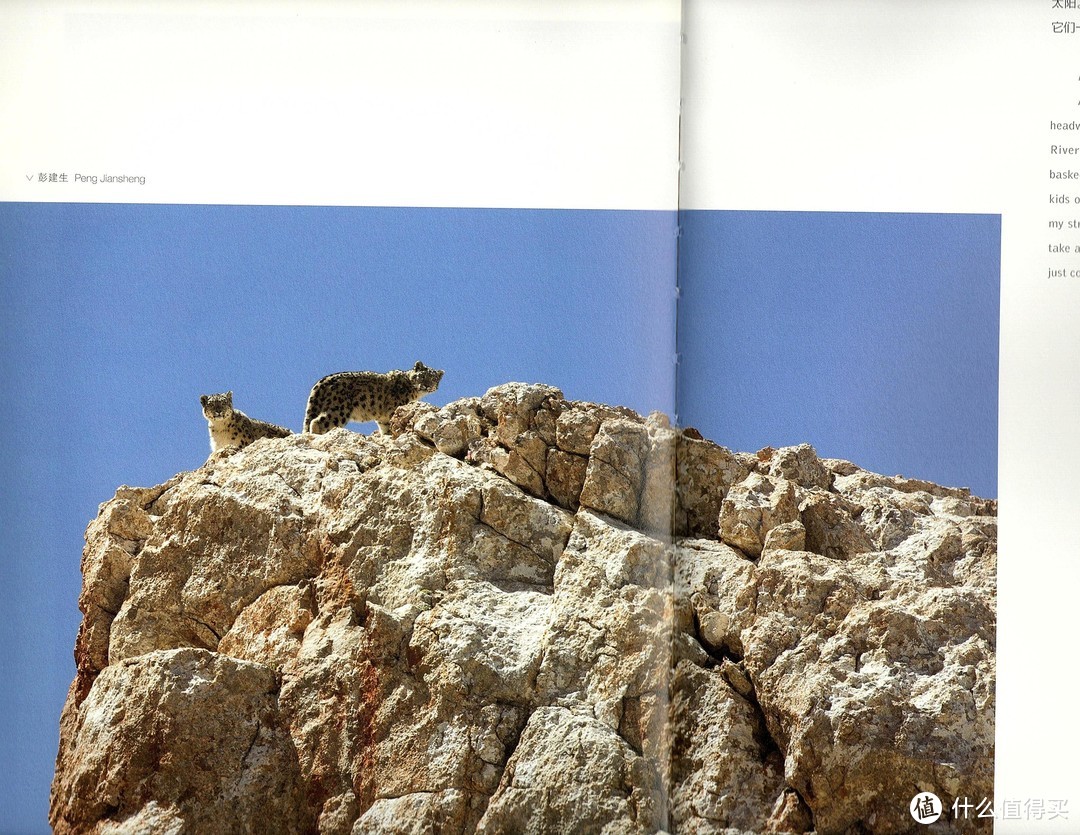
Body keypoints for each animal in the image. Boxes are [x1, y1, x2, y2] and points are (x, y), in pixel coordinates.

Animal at [300, 360, 442, 436]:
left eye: (433, 379)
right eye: (422, 376)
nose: (426, 385)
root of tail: (322, 381)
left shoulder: (383, 418)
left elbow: (386, 428)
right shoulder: (394, 410)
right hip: (340, 411)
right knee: (317, 421)